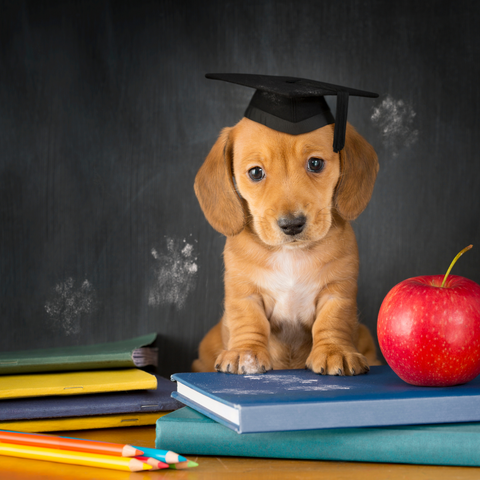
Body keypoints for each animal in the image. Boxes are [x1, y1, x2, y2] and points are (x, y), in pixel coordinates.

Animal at [191, 117, 378, 376]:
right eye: (256, 172)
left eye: (315, 163)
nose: (292, 225)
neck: (291, 254)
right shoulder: (244, 291)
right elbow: (248, 321)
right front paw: (245, 352)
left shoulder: (337, 290)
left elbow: (333, 321)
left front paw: (334, 350)